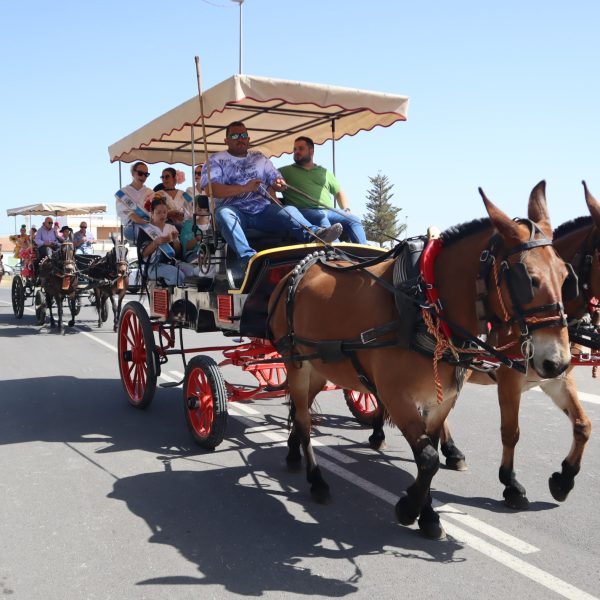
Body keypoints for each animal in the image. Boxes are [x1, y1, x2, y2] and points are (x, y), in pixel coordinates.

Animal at [268, 184, 572, 540]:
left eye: (564, 274)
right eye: (528, 279)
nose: (558, 362)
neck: (425, 304)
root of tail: (305, 262)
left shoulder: (441, 401)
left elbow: (430, 454)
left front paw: (427, 515)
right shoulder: (397, 397)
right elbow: (427, 458)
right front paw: (408, 508)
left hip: (319, 367)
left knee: (298, 410)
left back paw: (292, 454)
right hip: (296, 364)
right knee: (304, 420)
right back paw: (316, 480)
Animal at [432, 182, 596, 506]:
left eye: (565, 277)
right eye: (527, 281)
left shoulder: (556, 376)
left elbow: (583, 425)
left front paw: (565, 478)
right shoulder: (509, 378)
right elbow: (511, 431)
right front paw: (510, 482)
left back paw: (451, 450)